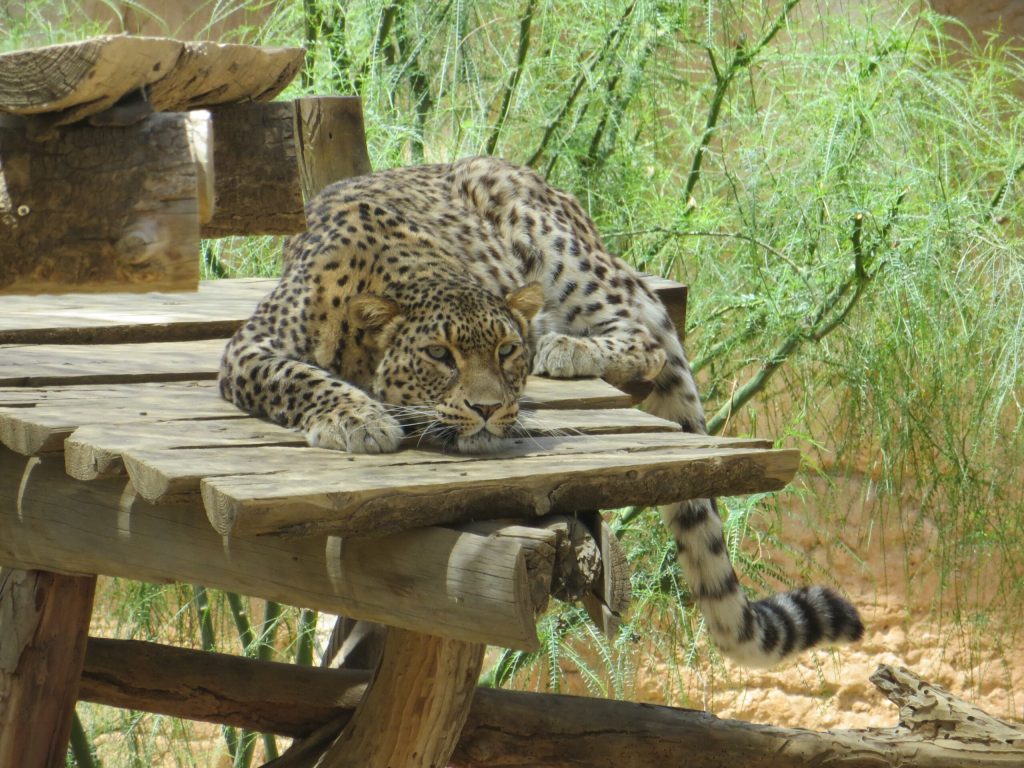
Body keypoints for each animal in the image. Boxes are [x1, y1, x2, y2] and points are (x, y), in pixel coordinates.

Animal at [219, 156, 863, 667]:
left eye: (506, 351)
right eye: (439, 355)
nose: (486, 408)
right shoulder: (250, 347)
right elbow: (297, 376)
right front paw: (360, 418)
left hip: (561, 250)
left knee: (647, 335)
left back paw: (566, 347)